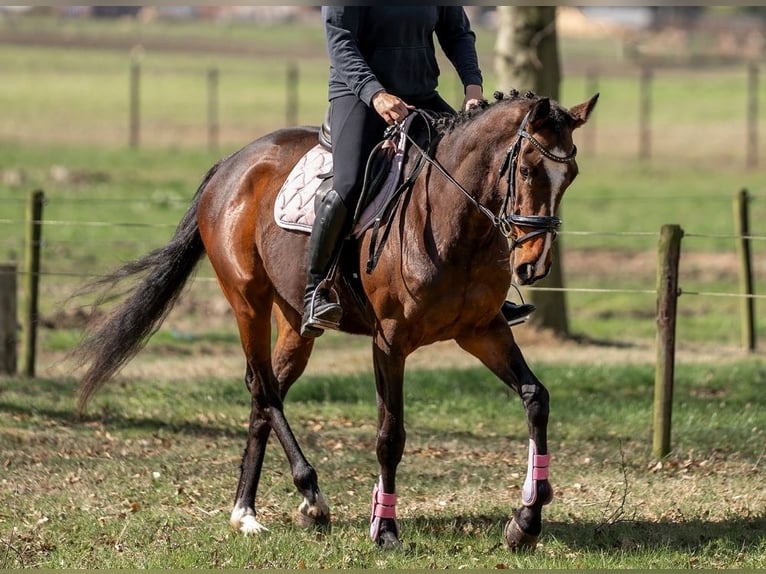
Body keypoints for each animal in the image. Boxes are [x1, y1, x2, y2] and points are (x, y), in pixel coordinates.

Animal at [72, 89, 598, 551]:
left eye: (571, 174)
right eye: (527, 170)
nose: (534, 265)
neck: (456, 222)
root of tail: (234, 162)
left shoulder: (482, 330)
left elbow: (536, 399)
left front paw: (526, 520)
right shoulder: (390, 341)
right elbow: (390, 435)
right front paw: (385, 529)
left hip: (293, 322)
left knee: (266, 392)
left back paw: (247, 512)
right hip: (247, 301)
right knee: (263, 388)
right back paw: (309, 495)